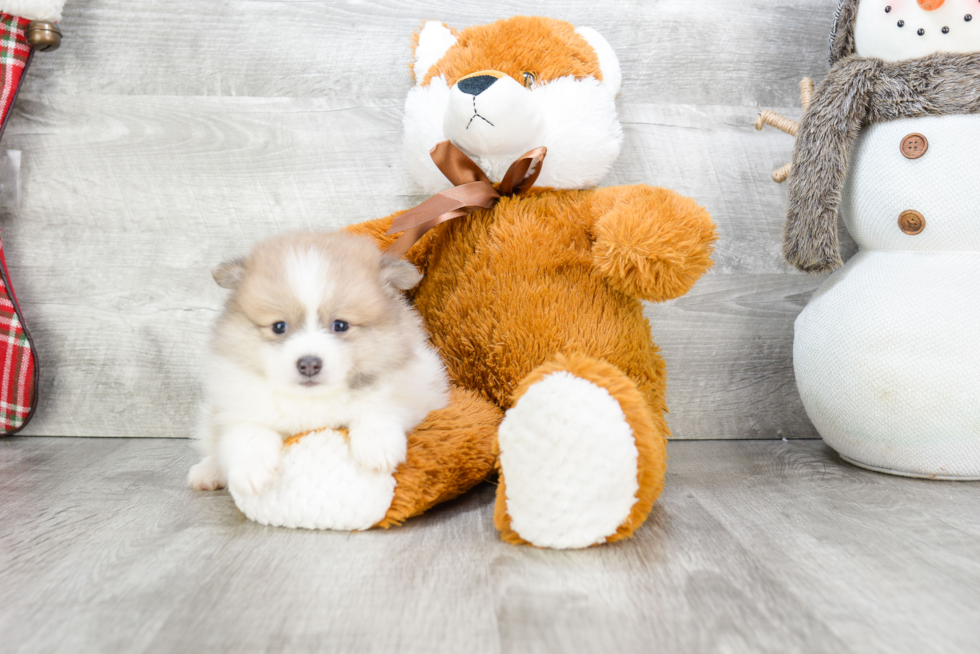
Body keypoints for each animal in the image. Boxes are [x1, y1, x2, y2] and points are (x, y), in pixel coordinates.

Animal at [188, 233, 448, 494]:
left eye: (340, 325)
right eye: (279, 327)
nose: (309, 364)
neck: (313, 400)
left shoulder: (415, 391)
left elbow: (379, 408)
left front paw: (377, 447)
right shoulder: (235, 406)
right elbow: (245, 431)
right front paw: (251, 470)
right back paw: (207, 472)